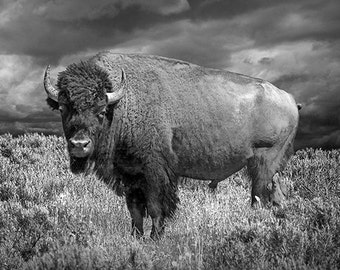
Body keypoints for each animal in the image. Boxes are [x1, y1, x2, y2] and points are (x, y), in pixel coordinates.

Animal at [43, 52, 300, 238]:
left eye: (101, 110)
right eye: (64, 108)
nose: (79, 144)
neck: (124, 103)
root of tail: (289, 99)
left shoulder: (155, 172)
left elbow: (156, 207)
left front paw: (156, 238)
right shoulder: (130, 174)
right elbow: (135, 210)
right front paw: (136, 238)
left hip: (264, 162)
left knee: (260, 197)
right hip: (270, 168)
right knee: (276, 195)